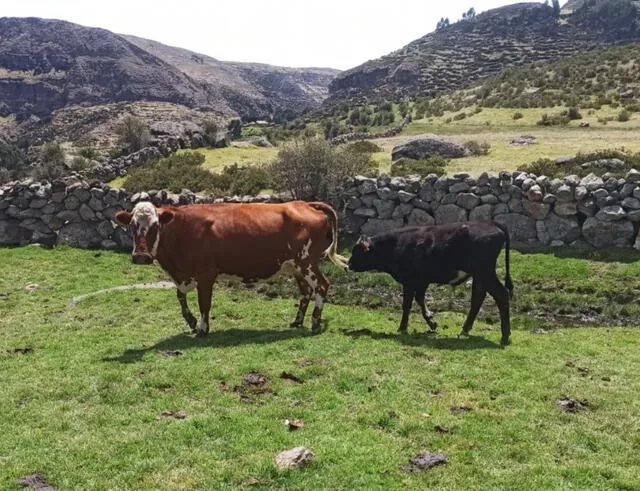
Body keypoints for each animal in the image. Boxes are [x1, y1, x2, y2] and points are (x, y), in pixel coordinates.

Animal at [115, 200, 344, 334]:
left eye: (155, 226)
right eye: (132, 226)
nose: (141, 257)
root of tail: (306, 203)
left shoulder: (206, 274)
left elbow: (204, 304)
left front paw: (203, 328)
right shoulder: (185, 276)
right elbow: (180, 297)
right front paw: (191, 321)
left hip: (307, 262)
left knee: (322, 286)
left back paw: (314, 323)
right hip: (295, 266)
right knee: (306, 292)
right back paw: (297, 321)